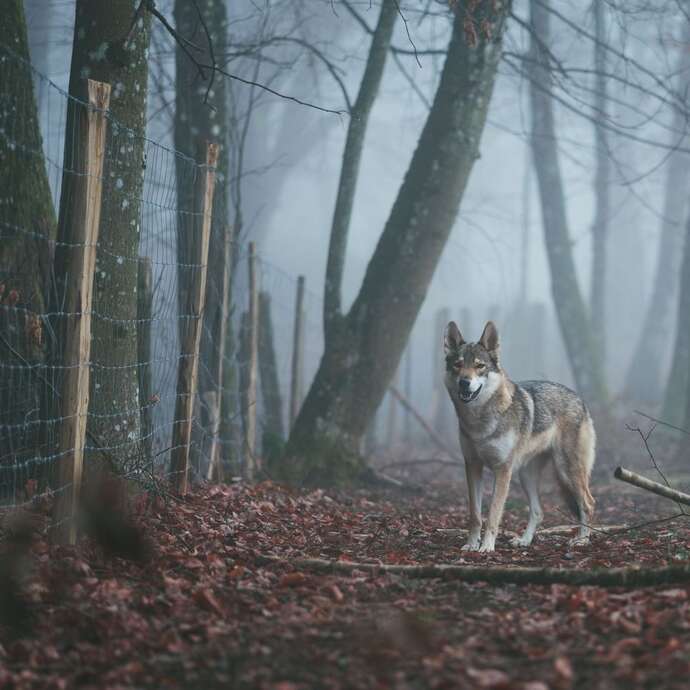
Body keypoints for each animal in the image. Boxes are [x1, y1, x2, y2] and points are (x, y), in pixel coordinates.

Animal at [443, 320, 595, 553]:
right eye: (458, 365)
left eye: (480, 366)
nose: (464, 382)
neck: (479, 421)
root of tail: (580, 399)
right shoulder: (472, 466)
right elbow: (475, 515)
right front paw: (471, 544)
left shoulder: (503, 470)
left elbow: (493, 513)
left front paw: (486, 547)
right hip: (526, 475)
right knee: (538, 511)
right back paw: (524, 541)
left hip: (566, 471)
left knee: (587, 503)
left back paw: (582, 539)